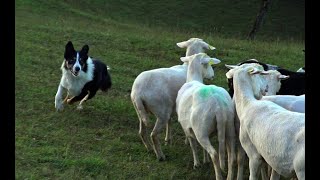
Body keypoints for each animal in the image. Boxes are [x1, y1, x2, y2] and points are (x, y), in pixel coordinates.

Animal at [176, 52, 236, 180]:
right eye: (208, 65)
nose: (212, 75)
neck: (193, 79)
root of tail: (218, 105)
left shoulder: (187, 128)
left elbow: (193, 146)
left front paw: (197, 163)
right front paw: (205, 160)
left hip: (201, 130)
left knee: (214, 154)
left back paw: (218, 176)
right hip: (229, 127)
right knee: (232, 157)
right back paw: (229, 176)